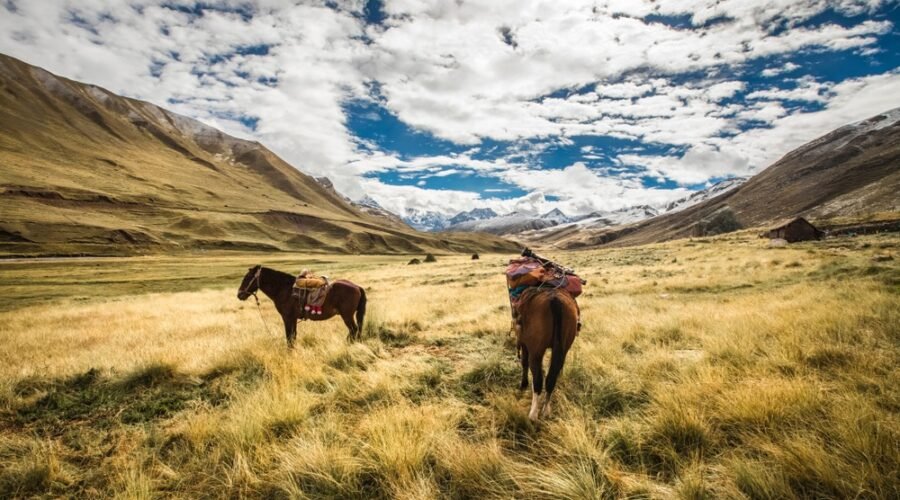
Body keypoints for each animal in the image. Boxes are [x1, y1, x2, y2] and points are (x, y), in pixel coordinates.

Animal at [236, 265, 367, 347]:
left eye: (248, 277)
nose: (239, 294)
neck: (284, 289)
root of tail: (356, 286)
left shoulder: (287, 317)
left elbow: (289, 336)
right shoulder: (293, 318)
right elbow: (293, 336)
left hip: (347, 315)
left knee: (354, 330)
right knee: (354, 331)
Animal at [516, 288, 579, 421]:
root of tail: (555, 300)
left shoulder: (524, 343)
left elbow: (524, 363)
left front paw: (523, 384)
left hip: (536, 351)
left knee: (538, 379)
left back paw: (533, 414)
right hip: (563, 346)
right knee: (551, 376)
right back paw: (546, 410)